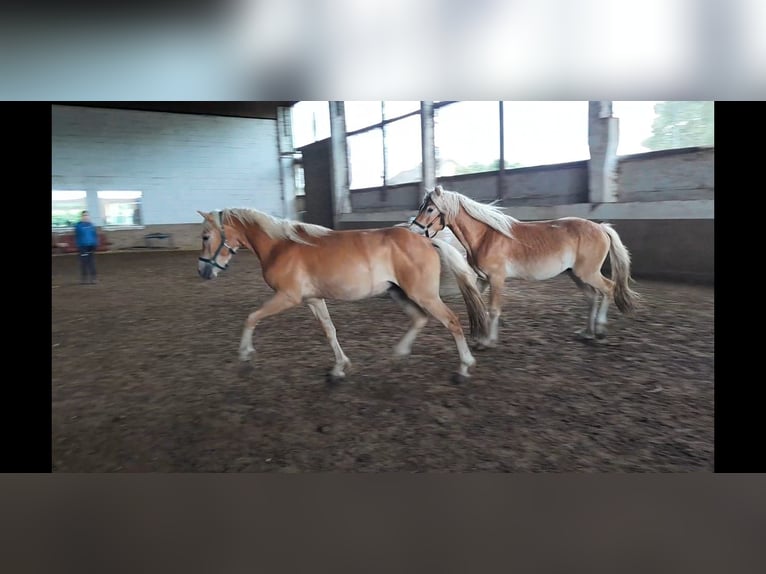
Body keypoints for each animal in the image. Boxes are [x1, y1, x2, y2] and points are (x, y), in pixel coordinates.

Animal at [198, 209, 492, 384]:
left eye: (205, 236)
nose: (203, 271)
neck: (280, 247)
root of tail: (426, 239)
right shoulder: (313, 300)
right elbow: (330, 331)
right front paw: (339, 368)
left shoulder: (287, 297)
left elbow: (251, 318)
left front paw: (245, 356)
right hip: (399, 293)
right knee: (420, 319)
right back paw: (399, 354)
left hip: (423, 294)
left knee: (452, 321)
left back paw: (464, 367)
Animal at [414, 186, 640, 346]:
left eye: (430, 208)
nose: (415, 230)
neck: (485, 237)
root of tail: (601, 228)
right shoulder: (483, 279)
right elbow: (479, 305)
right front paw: (481, 336)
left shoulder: (497, 279)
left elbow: (493, 309)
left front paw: (488, 341)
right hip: (576, 274)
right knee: (592, 297)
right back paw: (587, 333)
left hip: (588, 273)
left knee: (609, 289)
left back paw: (600, 331)